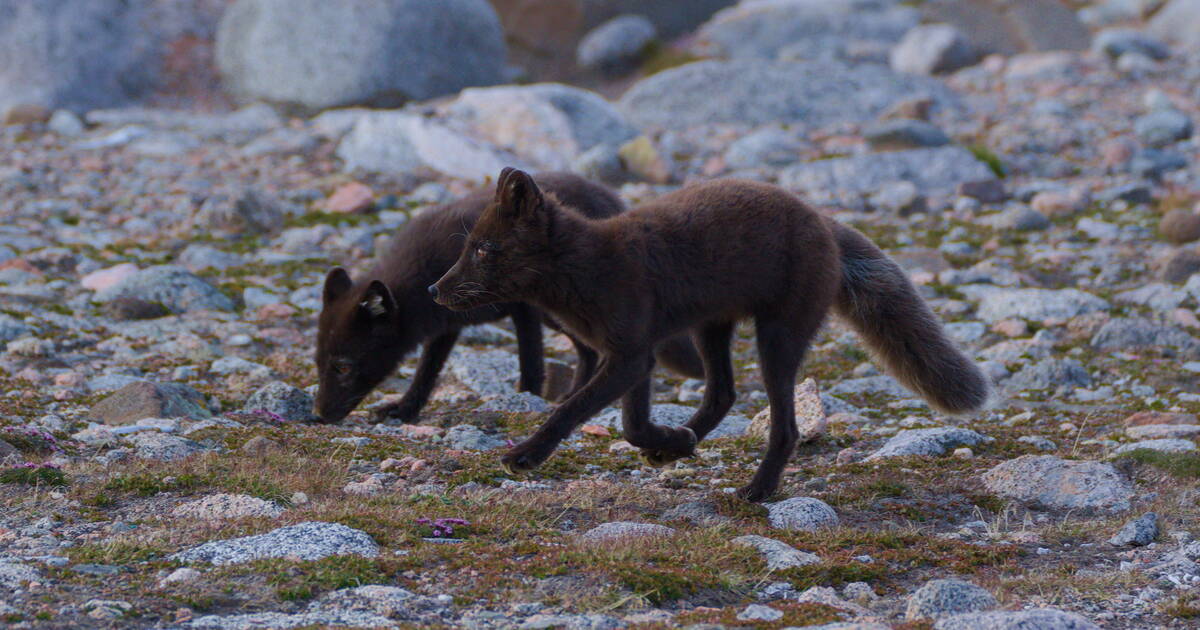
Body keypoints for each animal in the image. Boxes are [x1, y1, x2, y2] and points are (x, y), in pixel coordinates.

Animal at [314, 172, 700, 422]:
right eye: (318, 364)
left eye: (343, 366)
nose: (317, 416)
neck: (428, 272)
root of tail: (608, 195)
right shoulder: (447, 323)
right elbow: (427, 371)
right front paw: (405, 409)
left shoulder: (523, 309)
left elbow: (531, 365)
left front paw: (525, 400)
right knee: (588, 351)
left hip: (560, 313)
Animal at [432, 166, 993, 501]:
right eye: (468, 246)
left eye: (483, 249)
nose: (436, 290)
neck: (588, 267)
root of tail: (821, 218)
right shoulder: (637, 357)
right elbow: (632, 426)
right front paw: (669, 441)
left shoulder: (629, 356)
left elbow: (570, 409)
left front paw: (525, 455)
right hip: (711, 329)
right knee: (723, 393)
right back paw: (678, 446)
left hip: (776, 339)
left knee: (784, 427)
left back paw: (757, 491)